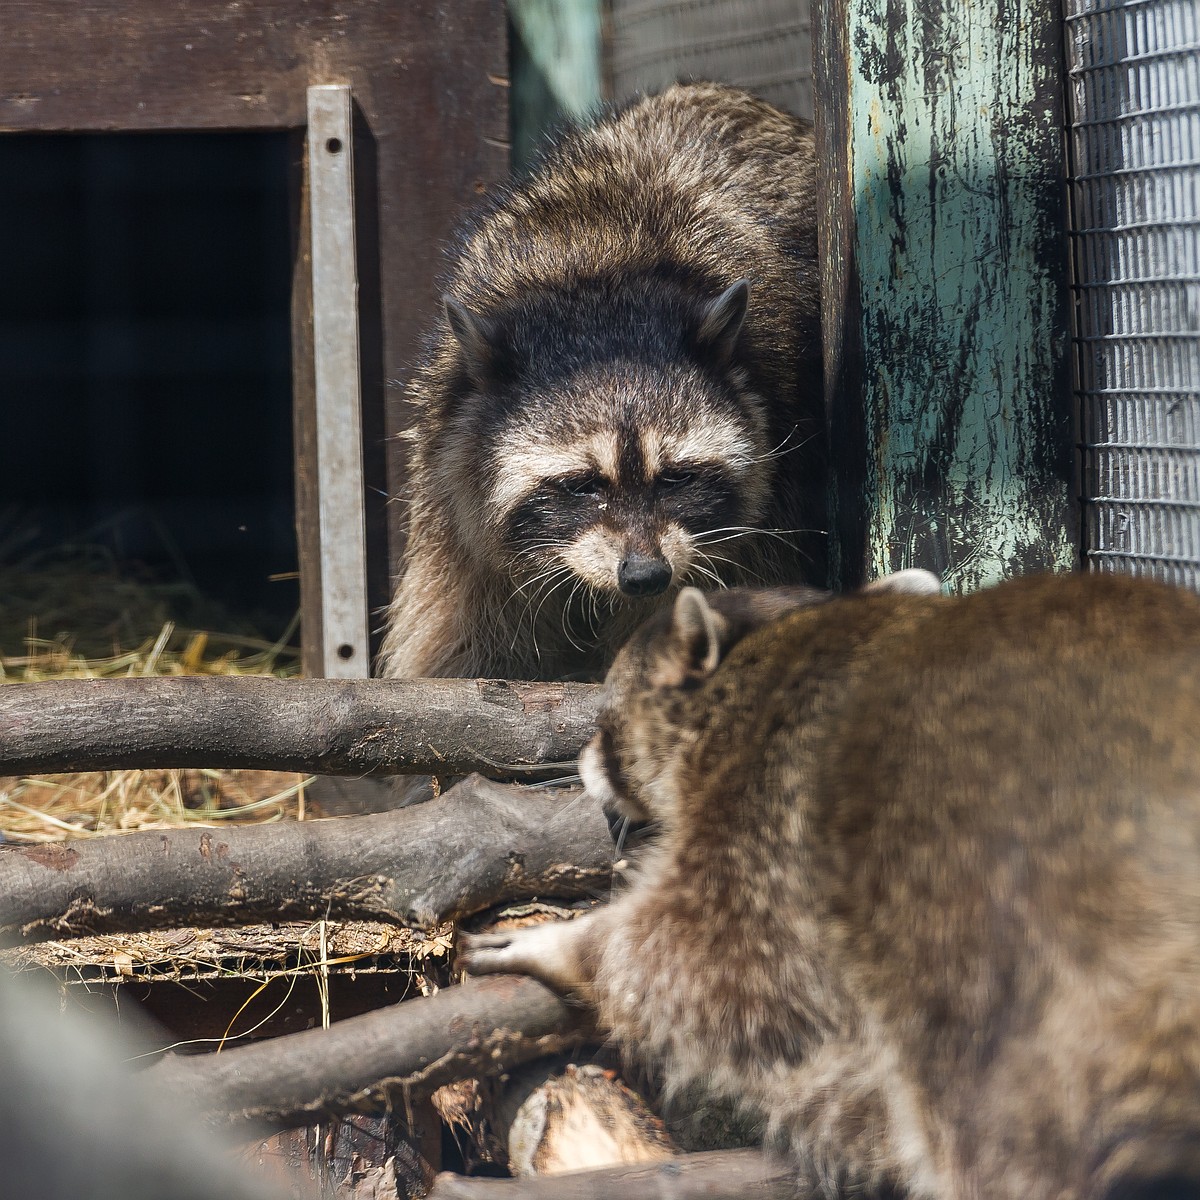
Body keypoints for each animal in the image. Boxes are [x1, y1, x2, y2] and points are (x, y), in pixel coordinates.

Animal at [381, 84, 825, 686]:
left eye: (677, 477)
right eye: (581, 485)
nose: (644, 575)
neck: (599, 276)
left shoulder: (774, 482)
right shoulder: (450, 483)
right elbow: (461, 636)